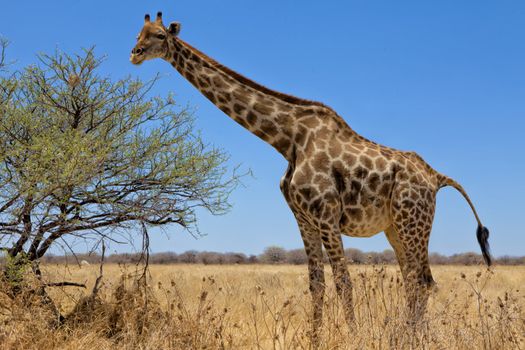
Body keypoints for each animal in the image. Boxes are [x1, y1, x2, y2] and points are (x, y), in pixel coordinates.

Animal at [129, 12, 490, 344]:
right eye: (138, 33)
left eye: (159, 35)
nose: (135, 53)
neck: (287, 140)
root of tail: (436, 176)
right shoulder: (303, 218)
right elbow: (316, 283)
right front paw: (315, 339)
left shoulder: (327, 215)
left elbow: (343, 281)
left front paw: (353, 338)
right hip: (395, 228)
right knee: (416, 281)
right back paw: (407, 337)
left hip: (412, 220)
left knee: (421, 281)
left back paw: (413, 338)